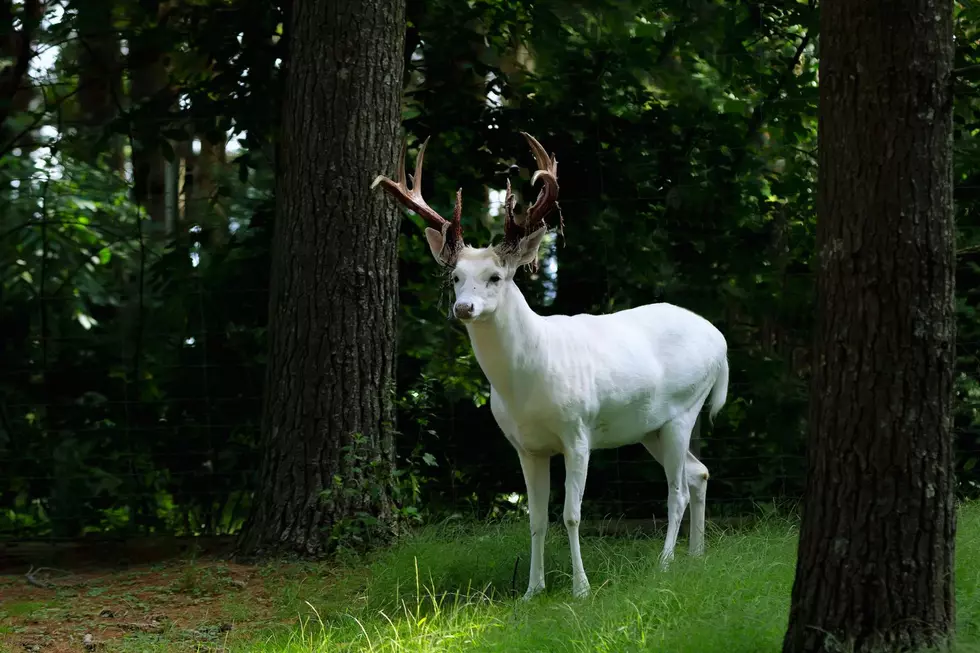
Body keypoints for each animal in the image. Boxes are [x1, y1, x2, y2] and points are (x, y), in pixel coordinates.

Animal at [372, 132, 729, 600]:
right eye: (455, 277)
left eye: (495, 277)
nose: (464, 307)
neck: (526, 383)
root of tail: (721, 341)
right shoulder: (526, 446)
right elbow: (536, 519)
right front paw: (532, 591)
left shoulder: (578, 432)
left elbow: (571, 515)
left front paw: (581, 589)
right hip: (649, 427)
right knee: (698, 472)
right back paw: (697, 555)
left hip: (684, 409)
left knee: (678, 490)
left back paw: (666, 562)